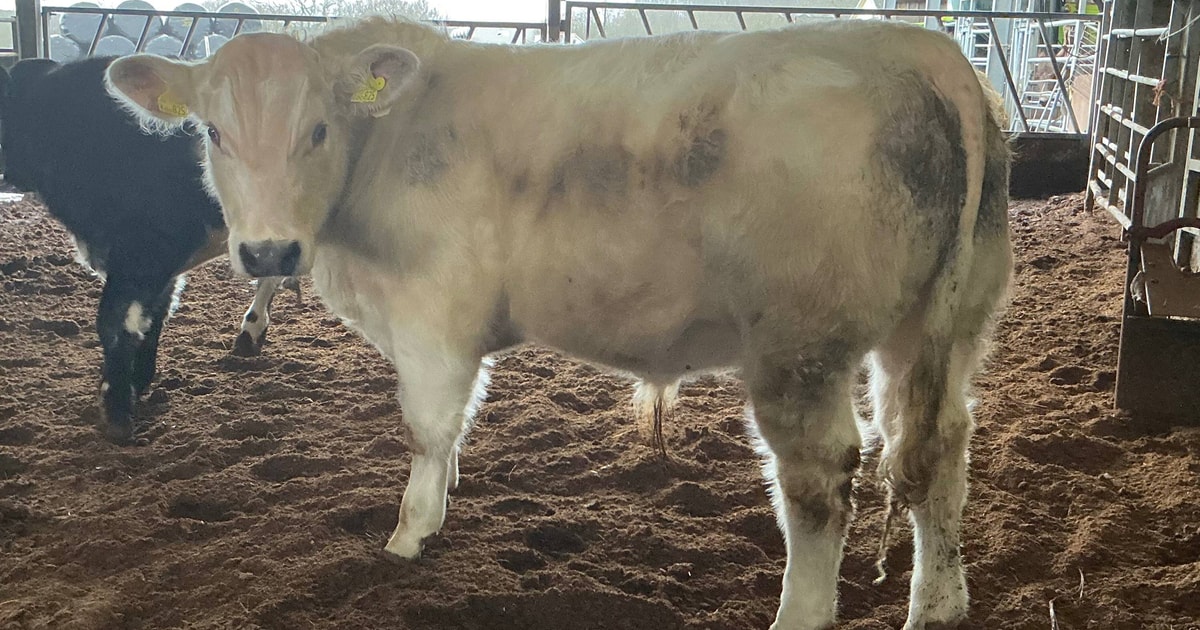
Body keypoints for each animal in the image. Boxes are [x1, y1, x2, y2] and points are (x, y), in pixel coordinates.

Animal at [105, 17, 1013, 629]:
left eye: (318, 128)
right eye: (212, 132)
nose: (265, 250)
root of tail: (925, 54)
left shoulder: (432, 317)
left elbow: (426, 427)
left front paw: (410, 534)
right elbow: (455, 427)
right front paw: (445, 497)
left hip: (801, 347)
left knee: (822, 480)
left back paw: (803, 612)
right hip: (942, 325)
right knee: (938, 447)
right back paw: (940, 601)